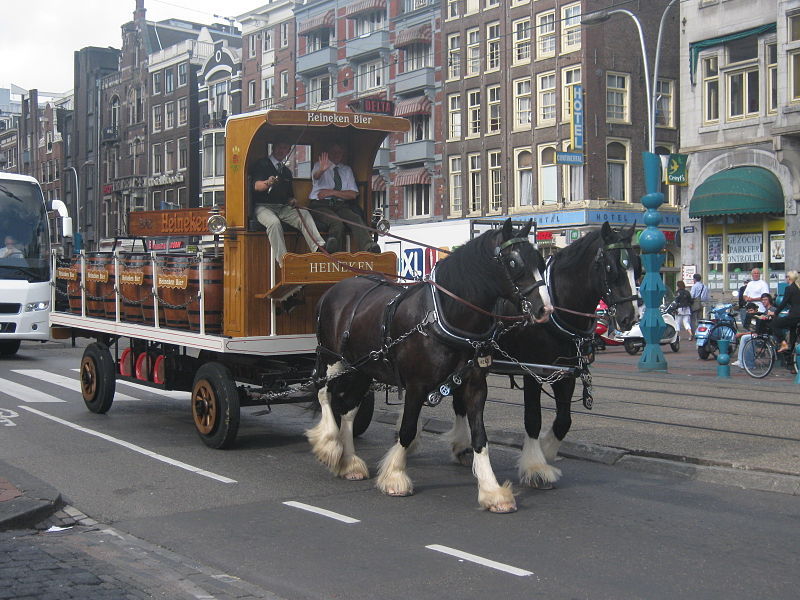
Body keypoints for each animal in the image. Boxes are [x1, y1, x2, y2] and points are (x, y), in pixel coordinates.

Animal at [310, 218, 552, 512]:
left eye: (541, 262)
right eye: (514, 262)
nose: (545, 310)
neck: (444, 315)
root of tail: (332, 291)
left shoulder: (475, 386)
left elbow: (480, 437)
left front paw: (492, 491)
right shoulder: (416, 386)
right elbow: (407, 429)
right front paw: (395, 476)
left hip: (362, 369)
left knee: (348, 409)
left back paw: (349, 464)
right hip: (333, 360)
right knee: (324, 392)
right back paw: (329, 443)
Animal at [446, 220, 640, 488]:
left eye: (637, 267)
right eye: (610, 268)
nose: (630, 316)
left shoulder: (566, 373)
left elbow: (564, 420)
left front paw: (547, 452)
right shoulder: (533, 371)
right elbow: (533, 418)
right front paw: (535, 466)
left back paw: (461, 446)